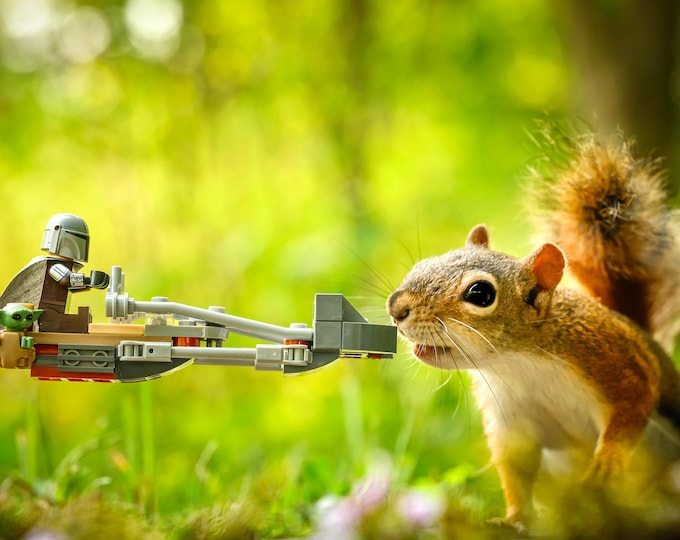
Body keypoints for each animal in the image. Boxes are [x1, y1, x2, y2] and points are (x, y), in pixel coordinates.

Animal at [386, 131, 680, 530]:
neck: (518, 363)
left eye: (480, 294)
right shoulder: (512, 417)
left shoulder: (615, 359)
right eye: (423, 264)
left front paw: (608, 459)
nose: (396, 308)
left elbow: (633, 401)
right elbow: (517, 468)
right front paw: (511, 518)